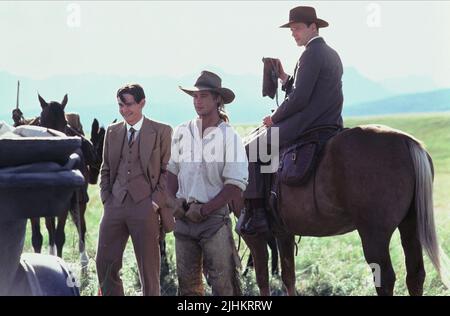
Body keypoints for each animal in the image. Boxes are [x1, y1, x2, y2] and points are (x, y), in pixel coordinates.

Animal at [12, 94, 104, 270]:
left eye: (64, 124)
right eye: (43, 122)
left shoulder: (65, 204)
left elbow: (61, 236)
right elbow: (37, 238)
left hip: (79, 201)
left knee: (80, 225)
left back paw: (83, 261)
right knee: (50, 228)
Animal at [243, 124, 450, 296]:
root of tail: (406, 141)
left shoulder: (254, 236)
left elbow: (262, 278)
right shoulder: (283, 233)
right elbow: (288, 277)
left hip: (374, 236)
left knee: (385, 279)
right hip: (410, 226)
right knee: (415, 275)